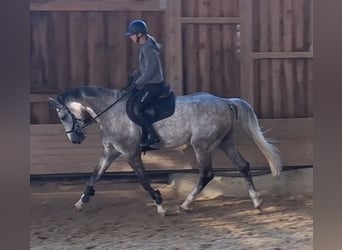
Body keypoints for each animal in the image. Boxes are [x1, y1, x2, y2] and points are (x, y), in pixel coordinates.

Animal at [49, 85, 282, 216]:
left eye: (62, 115)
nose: (75, 139)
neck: (110, 111)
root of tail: (225, 101)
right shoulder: (110, 152)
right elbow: (93, 177)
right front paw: (80, 203)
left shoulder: (130, 153)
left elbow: (144, 180)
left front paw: (160, 206)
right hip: (224, 142)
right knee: (242, 165)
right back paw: (257, 201)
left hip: (202, 146)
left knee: (207, 174)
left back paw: (186, 204)